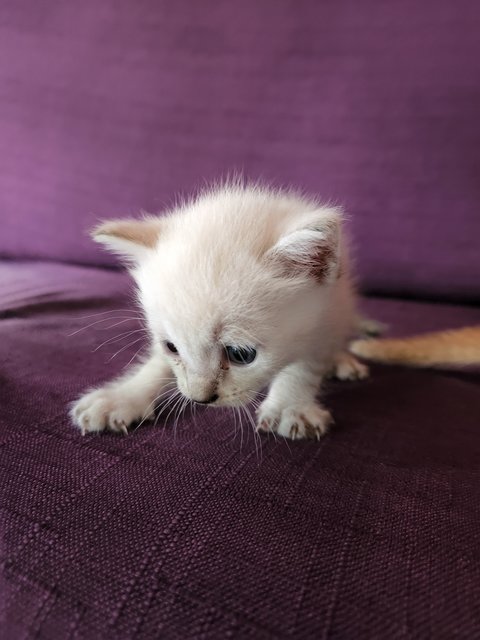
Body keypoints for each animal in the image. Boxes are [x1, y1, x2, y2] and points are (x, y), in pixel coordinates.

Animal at [70, 182, 368, 438]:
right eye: (171, 347)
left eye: (240, 355)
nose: (200, 399)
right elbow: (157, 364)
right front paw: (122, 396)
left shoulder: (328, 311)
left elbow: (307, 362)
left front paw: (290, 407)